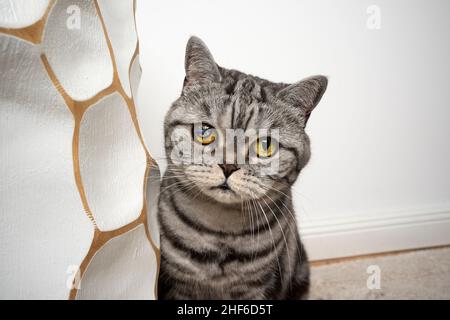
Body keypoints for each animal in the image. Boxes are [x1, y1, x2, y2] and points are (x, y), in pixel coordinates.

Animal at [157, 37, 326, 300]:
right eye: (205, 131)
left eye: (265, 145)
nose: (228, 165)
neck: (220, 231)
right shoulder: (177, 284)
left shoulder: (258, 288)